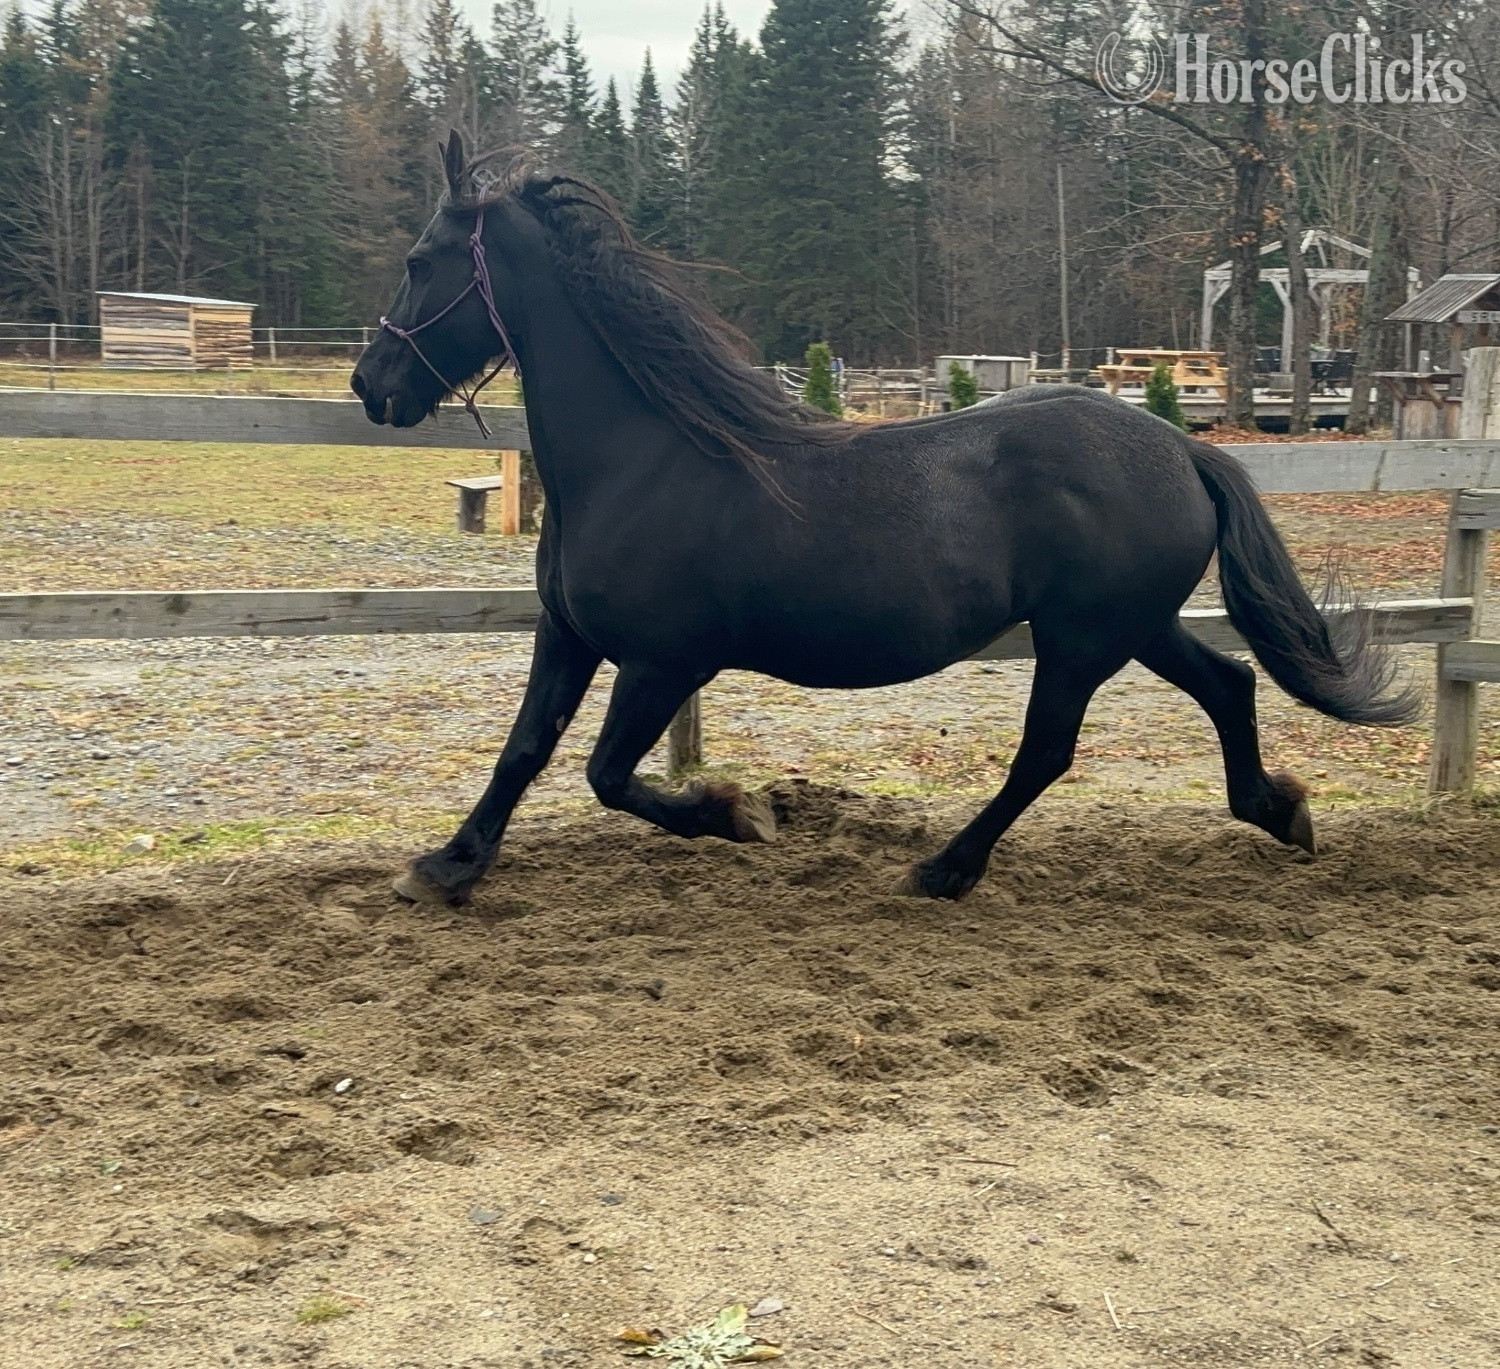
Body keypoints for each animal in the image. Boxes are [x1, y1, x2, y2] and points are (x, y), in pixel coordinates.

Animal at [350, 132, 1416, 908]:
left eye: (419, 260)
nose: (372, 386)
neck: (643, 459)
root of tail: (1182, 448)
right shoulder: (567, 636)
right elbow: (524, 750)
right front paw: (445, 867)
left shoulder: (663, 662)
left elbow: (609, 777)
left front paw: (738, 814)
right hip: (1134, 626)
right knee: (1229, 686)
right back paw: (1280, 813)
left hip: (1081, 639)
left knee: (1048, 751)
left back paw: (945, 868)